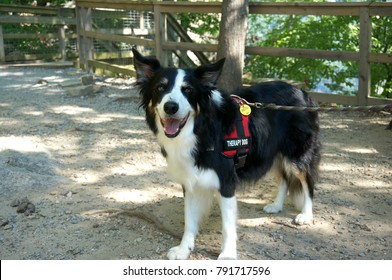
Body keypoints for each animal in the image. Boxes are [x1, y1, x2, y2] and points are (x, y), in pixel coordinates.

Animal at [133, 48, 320, 260]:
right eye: (160, 88)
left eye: (188, 90)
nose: (171, 107)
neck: (201, 129)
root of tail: (304, 94)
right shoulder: (190, 179)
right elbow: (189, 219)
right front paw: (184, 249)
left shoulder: (226, 180)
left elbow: (228, 226)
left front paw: (228, 254)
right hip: (273, 154)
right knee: (284, 179)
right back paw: (276, 205)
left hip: (297, 154)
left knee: (307, 181)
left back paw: (306, 215)